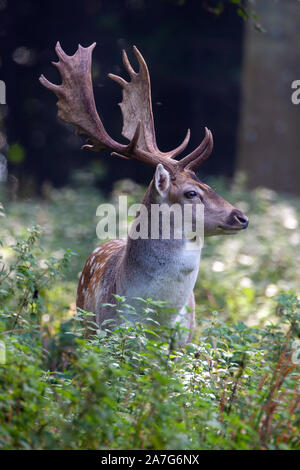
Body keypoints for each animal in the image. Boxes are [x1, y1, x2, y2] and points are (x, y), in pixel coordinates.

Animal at [41, 42, 250, 344]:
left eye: (208, 186)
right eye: (191, 193)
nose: (241, 217)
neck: (157, 319)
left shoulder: (185, 341)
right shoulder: (110, 334)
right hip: (86, 326)